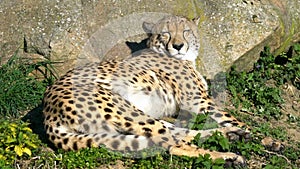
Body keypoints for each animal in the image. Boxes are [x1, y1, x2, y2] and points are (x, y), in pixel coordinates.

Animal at [42, 15, 251, 165]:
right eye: (165, 33)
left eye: (185, 31)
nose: (178, 46)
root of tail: (48, 112)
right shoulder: (196, 99)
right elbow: (231, 116)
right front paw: (256, 134)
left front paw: (242, 130)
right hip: (126, 110)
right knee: (173, 144)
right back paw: (227, 156)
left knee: (179, 133)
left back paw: (230, 134)